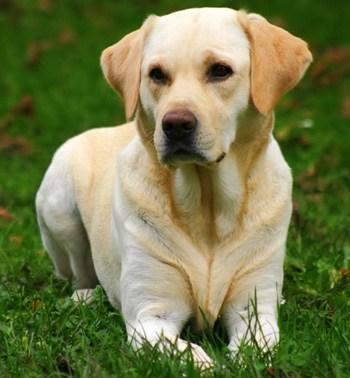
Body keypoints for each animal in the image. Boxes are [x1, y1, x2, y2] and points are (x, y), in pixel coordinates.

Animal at [36, 7, 312, 368]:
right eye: (157, 74)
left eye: (220, 70)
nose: (176, 124)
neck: (207, 208)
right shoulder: (150, 317)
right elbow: (192, 357)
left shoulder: (254, 311)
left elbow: (250, 350)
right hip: (59, 206)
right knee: (78, 275)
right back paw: (86, 297)